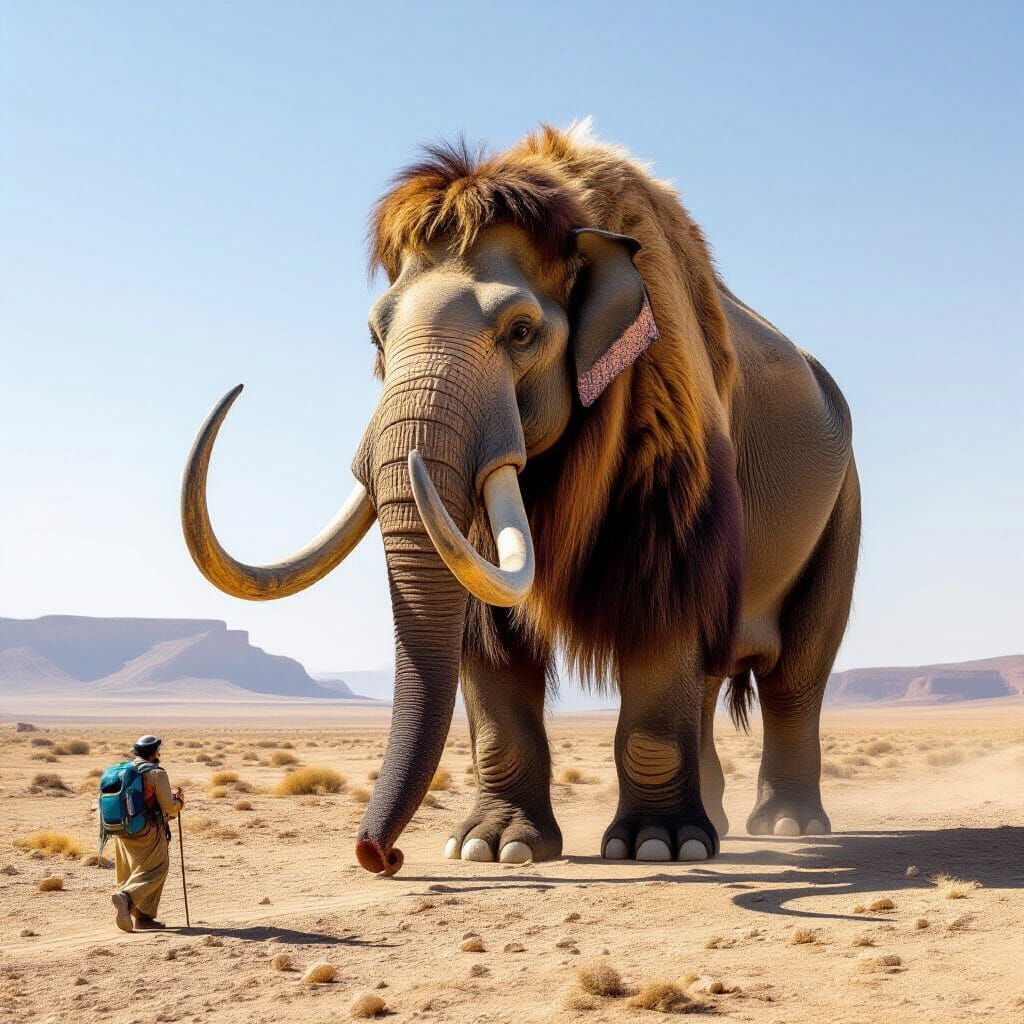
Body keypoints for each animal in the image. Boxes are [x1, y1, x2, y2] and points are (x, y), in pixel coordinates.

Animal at [180, 123, 860, 875]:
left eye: (522, 332)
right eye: (375, 337)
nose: (380, 855)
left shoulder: (671, 438)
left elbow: (663, 625)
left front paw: (657, 845)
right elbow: (486, 643)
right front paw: (492, 847)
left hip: (844, 510)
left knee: (795, 679)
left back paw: (788, 827)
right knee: (714, 679)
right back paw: (722, 821)